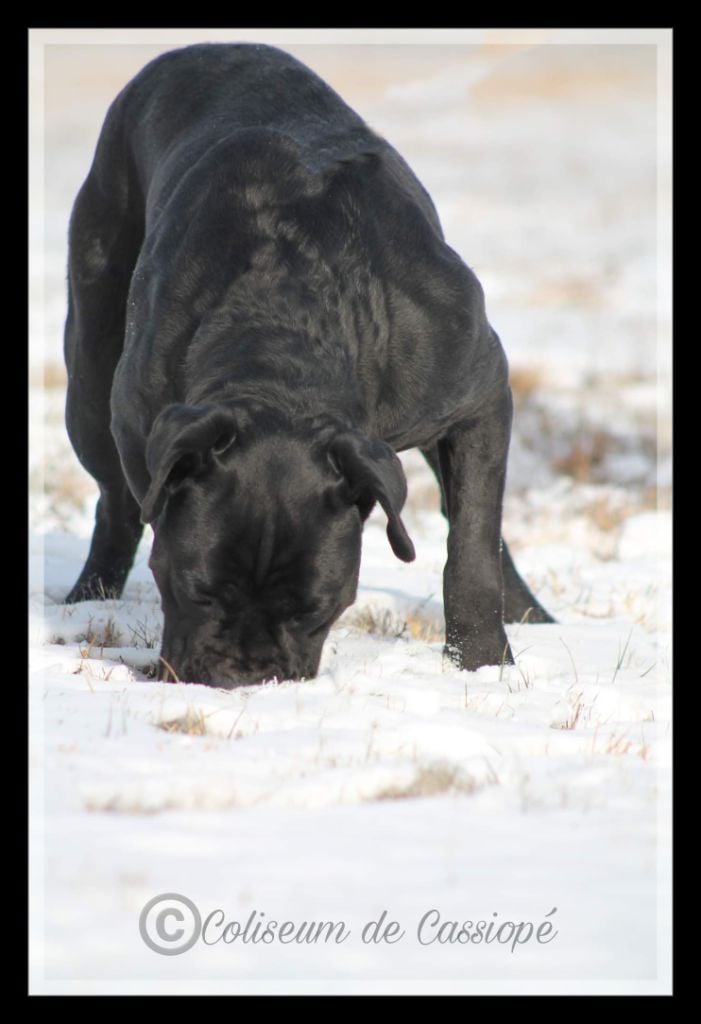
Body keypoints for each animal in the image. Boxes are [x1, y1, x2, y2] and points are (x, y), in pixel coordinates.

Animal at [61, 46, 552, 688]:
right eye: (198, 592)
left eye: (314, 607)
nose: (244, 675)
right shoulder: (137, 420)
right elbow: (138, 504)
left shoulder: (478, 394)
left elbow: (471, 546)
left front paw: (482, 664)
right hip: (90, 379)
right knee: (115, 501)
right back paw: (89, 598)